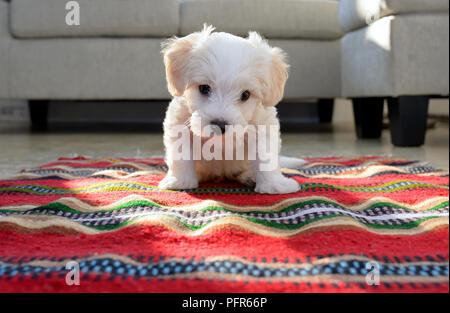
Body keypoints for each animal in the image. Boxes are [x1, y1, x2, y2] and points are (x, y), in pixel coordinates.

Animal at [158, 26, 306, 193]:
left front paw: (274, 185)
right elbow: (181, 155)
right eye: (204, 88)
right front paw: (180, 181)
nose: (219, 125)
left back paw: (249, 176)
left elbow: (266, 156)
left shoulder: (263, 127)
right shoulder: (179, 124)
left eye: (246, 94)